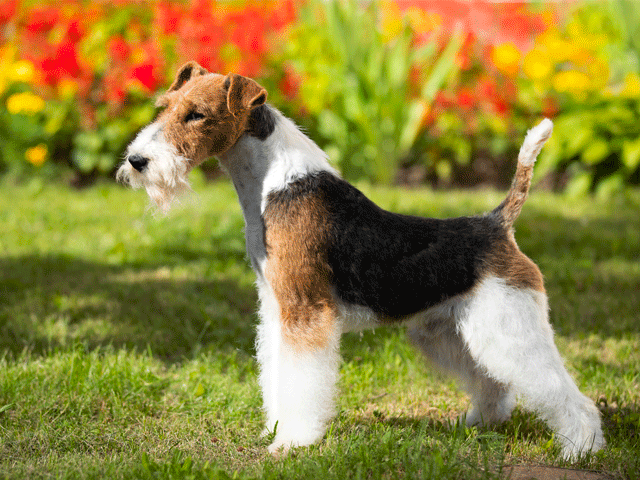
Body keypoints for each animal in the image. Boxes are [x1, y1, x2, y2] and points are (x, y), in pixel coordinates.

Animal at [119, 62, 604, 460]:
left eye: (197, 114)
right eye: (165, 107)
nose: (137, 161)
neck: (272, 186)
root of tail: (498, 222)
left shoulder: (307, 312)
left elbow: (303, 383)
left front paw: (293, 441)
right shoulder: (278, 311)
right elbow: (276, 375)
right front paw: (276, 428)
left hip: (507, 324)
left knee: (567, 396)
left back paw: (579, 449)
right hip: (450, 331)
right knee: (493, 384)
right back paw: (478, 424)